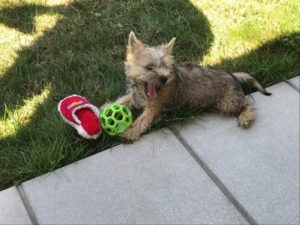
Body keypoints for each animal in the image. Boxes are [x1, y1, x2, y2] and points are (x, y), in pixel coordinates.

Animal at [117, 31, 272, 141]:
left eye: (165, 66)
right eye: (149, 67)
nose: (164, 78)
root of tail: (233, 76)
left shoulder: (155, 107)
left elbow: (143, 120)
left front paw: (131, 131)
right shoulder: (135, 96)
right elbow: (122, 100)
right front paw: (112, 107)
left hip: (229, 103)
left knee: (248, 105)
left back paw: (246, 118)